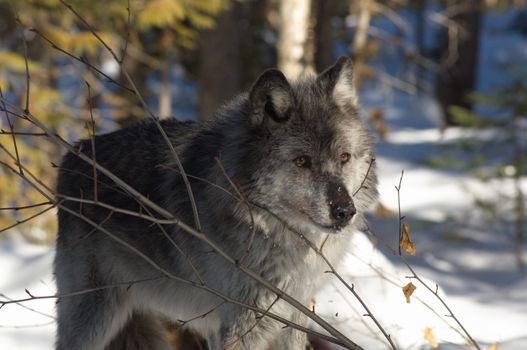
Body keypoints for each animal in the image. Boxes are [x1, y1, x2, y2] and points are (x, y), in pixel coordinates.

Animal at [55, 56, 380, 348]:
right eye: (302, 161)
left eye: (344, 157)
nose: (344, 211)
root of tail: (75, 152)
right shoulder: (239, 326)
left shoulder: (292, 320)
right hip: (93, 318)